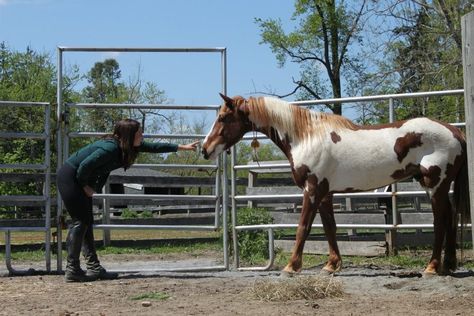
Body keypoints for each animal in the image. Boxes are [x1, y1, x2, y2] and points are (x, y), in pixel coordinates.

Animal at [201, 92, 470, 276]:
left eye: (223, 117)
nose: (204, 150)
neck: (306, 137)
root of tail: (456, 132)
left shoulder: (311, 190)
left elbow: (303, 228)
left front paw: (291, 266)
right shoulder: (325, 193)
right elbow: (330, 228)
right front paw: (332, 265)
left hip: (435, 185)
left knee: (440, 221)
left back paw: (432, 267)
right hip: (438, 187)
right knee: (450, 217)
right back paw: (448, 264)